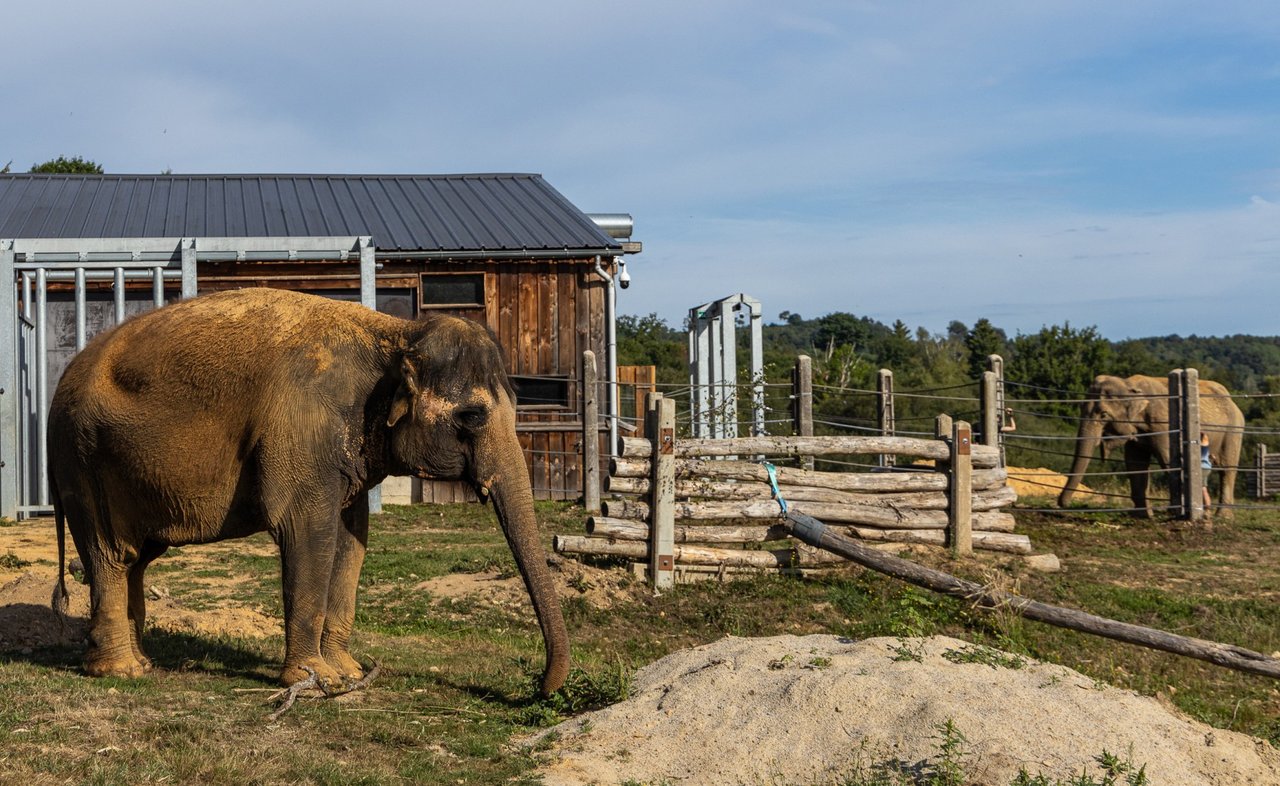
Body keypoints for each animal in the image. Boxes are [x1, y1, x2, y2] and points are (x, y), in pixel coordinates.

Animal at [48, 289, 570, 696]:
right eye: (473, 417)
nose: (537, 687)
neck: (396, 334)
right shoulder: (302, 428)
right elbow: (308, 532)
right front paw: (315, 680)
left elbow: (352, 539)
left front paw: (348, 673)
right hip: (81, 461)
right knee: (110, 554)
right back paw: (122, 672)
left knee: (135, 559)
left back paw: (141, 661)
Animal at [1054, 373, 1244, 517]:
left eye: (1103, 415)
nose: (1063, 504)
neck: (1129, 384)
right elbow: (1135, 463)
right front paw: (1144, 515)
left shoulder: (1163, 424)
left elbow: (1169, 460)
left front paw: (1173, 512)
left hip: (1233, 430)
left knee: (1227, 469)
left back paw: (1223, 516)